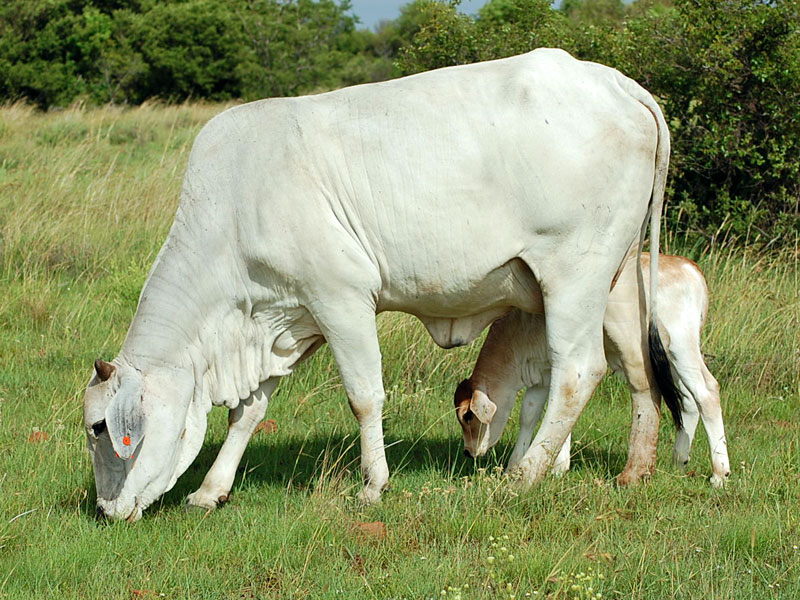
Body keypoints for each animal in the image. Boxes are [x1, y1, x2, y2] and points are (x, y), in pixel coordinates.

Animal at [82, 48, 671, 521]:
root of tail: (616, 83)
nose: (106, 511)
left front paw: (373, 485)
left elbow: (364, 397)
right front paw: (210, 490)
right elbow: (248, 413)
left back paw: (524, 475)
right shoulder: (288, 320)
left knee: (578, 372)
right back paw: (630, 469)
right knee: (637, 372)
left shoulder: (340, 300)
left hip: (575, 277)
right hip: (616, 281)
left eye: (98, 429)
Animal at [454, 253, 731, 488]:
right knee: (688, 401)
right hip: (669, 362)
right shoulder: (541, 375)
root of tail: (686, 265)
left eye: (468, 416)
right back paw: (679, 461)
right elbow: (532, 415)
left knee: (706, 393)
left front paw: (547, 466)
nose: (468, 452)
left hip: (681, 348)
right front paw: (533, 465)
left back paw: (719, 474)